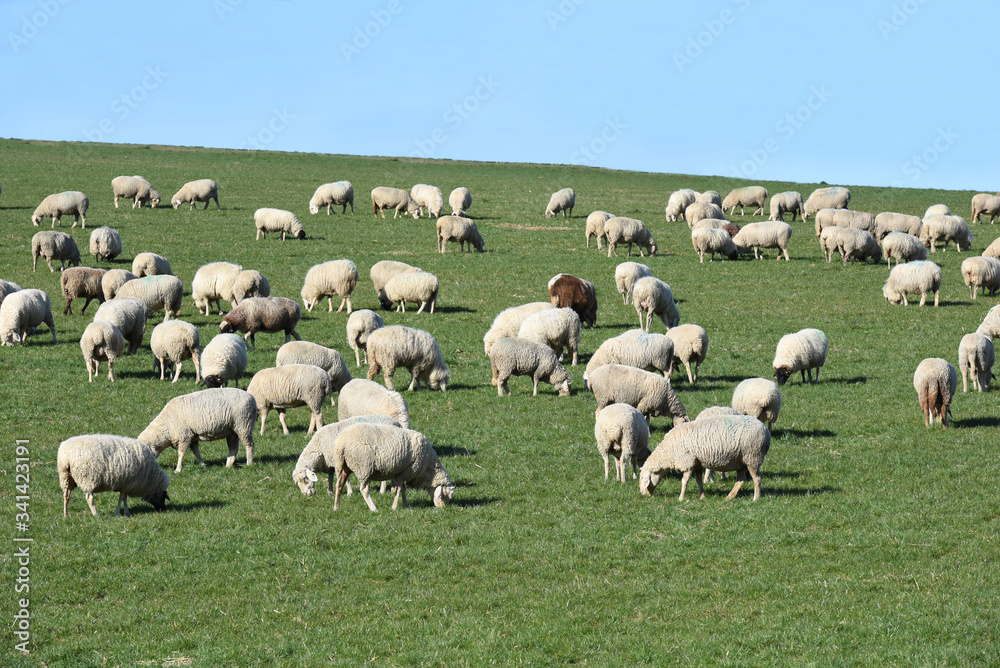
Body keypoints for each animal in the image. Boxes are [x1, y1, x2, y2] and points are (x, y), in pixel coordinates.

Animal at [639, 415, 770, 501]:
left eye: (642, 478)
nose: (643, 495)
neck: (668, 452)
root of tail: (766, 430)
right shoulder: (696, 463)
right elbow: (699, 481)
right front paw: (701, 496)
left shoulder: (687, 462)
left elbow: (684, 481)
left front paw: (681, 498)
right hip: (741, 460)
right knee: (741, 478)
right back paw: (729, 496)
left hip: (752, 456)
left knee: (757, 478)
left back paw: (756, 498)